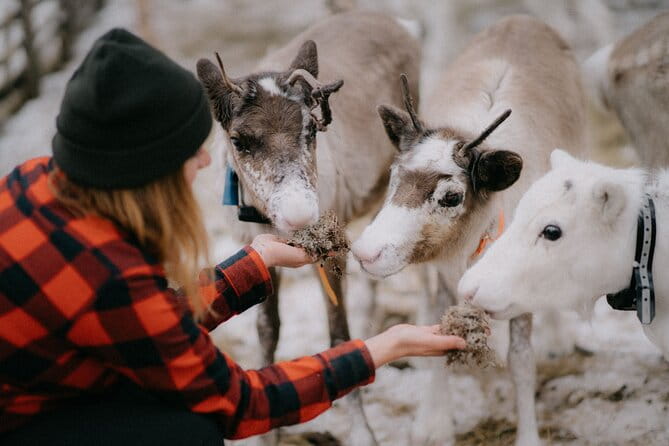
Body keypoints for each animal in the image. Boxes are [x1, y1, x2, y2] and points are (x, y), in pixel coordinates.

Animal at [196, 10, 421, 445]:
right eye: (239, 140)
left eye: (312, 129)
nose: (300, 214)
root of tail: (396, 20)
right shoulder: (258, 246)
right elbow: (268, 328)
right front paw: (268, 433)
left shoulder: (332, 252)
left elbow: (339, 333)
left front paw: (362, 431)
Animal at [351, 15, 587, 446]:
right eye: (395, 174)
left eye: (451, 196)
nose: (367, 252)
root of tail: (523, 18)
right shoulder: (439, 276)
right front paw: (434, 424)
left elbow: (521, 362)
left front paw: (528, 435)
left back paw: (558, 339)